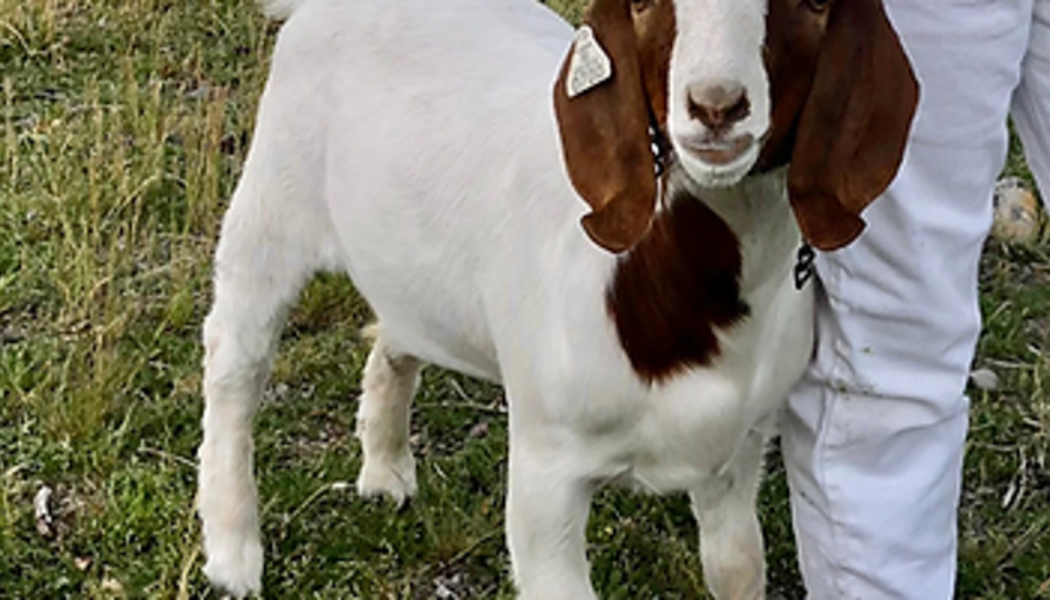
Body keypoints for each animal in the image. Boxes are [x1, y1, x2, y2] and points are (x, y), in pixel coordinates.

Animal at [196, 0, 918, 597]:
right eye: (643, 2)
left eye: (816, 2)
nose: (716, 107)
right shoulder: (547, 472)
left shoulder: (740, 451)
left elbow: (738, 567)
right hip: (273, 203)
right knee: (235, 362)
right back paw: (233, 554)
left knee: (396, 332)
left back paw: (385, 471)